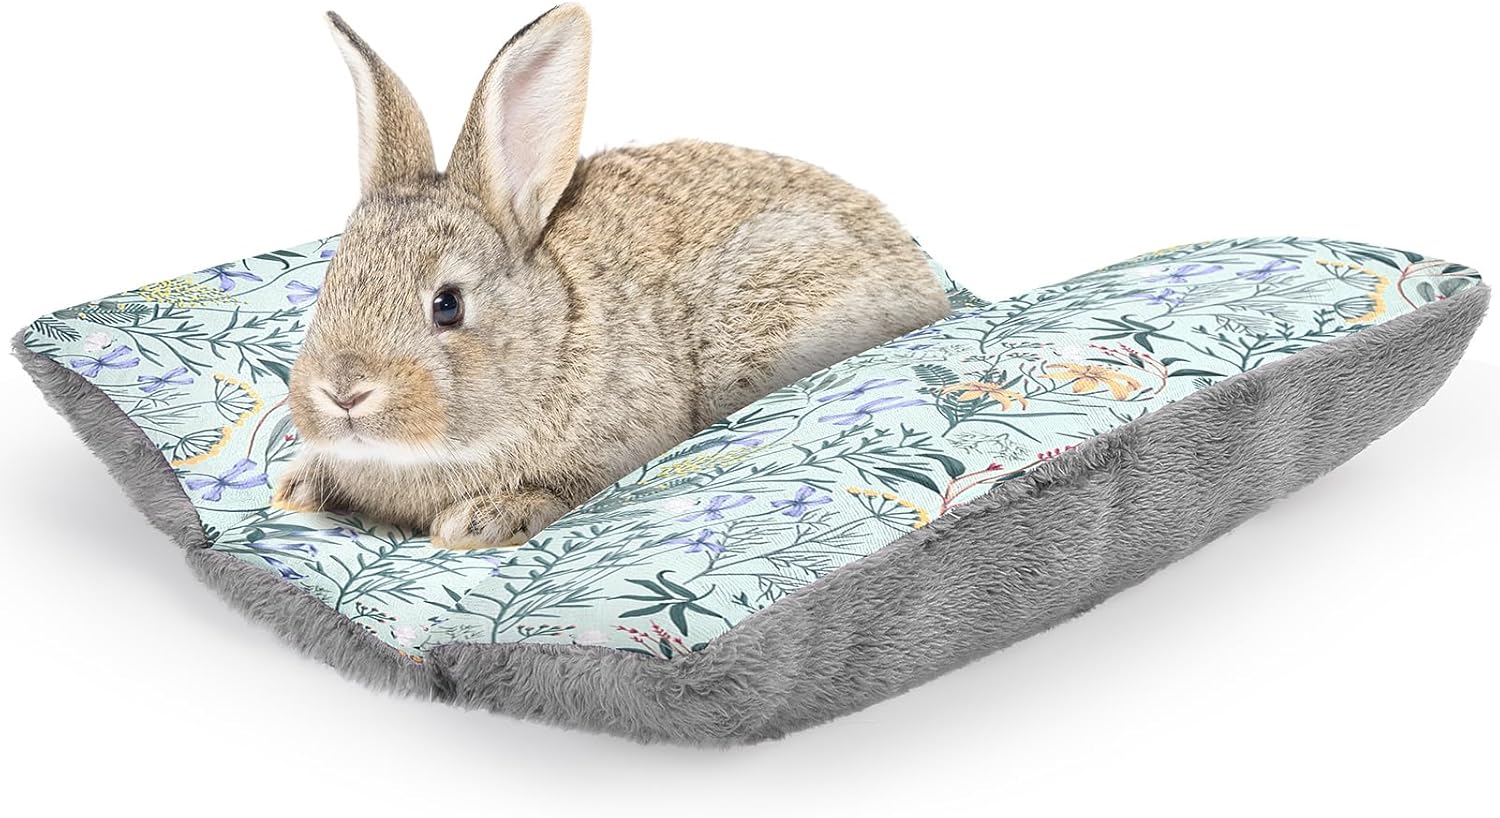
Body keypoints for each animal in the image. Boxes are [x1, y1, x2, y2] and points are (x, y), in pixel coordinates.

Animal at [272, 4, 953, 549]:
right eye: (331, 282)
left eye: (448, 305)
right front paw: (297, 485)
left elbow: (564, 491)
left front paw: (479, 522)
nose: (344, 392)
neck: (551, 338)